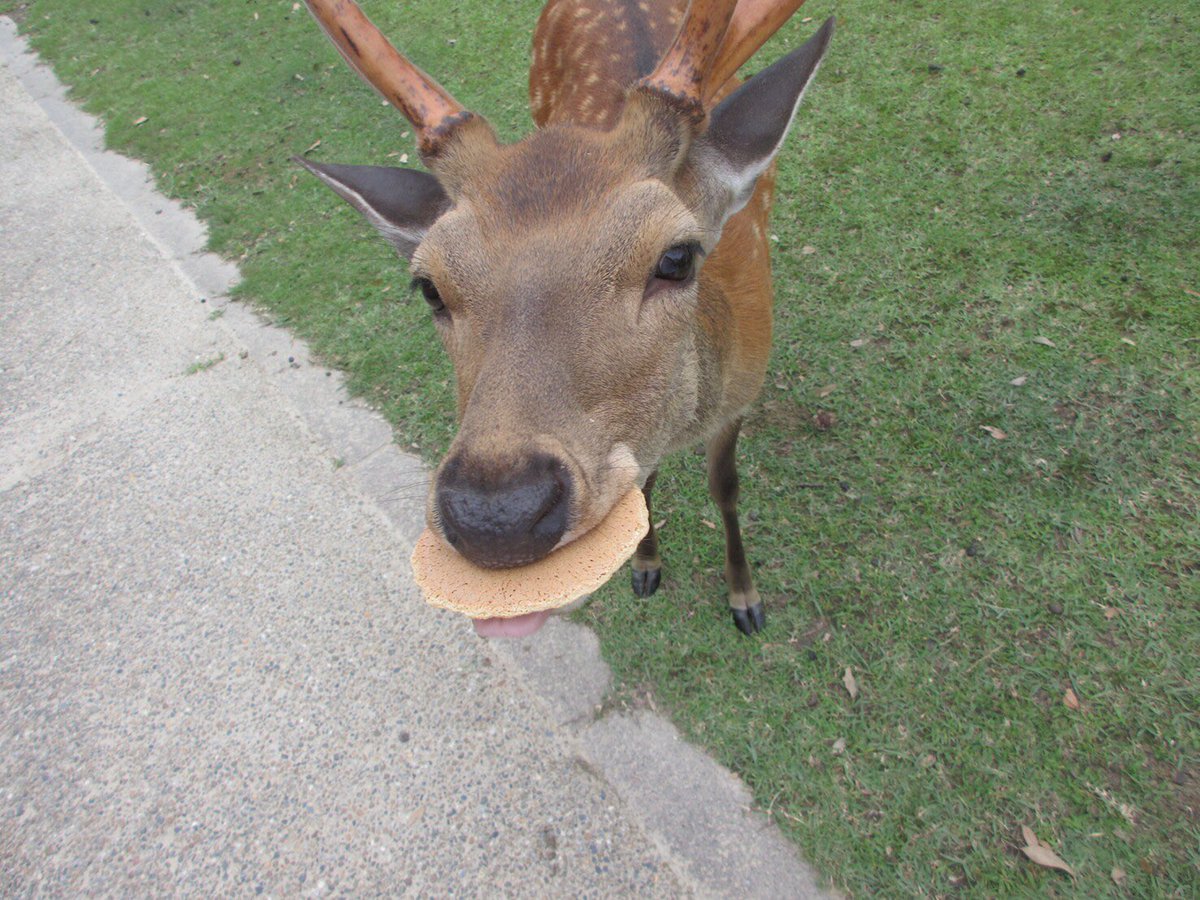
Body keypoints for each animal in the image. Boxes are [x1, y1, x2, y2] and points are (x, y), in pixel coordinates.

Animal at [297, 0, 834, 638]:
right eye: (428, 288)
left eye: (676, 258)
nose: (495, 516)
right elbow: (646, 484)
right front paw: (646, 567)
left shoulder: (744, 390)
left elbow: (724, 487)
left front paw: (745, 600)